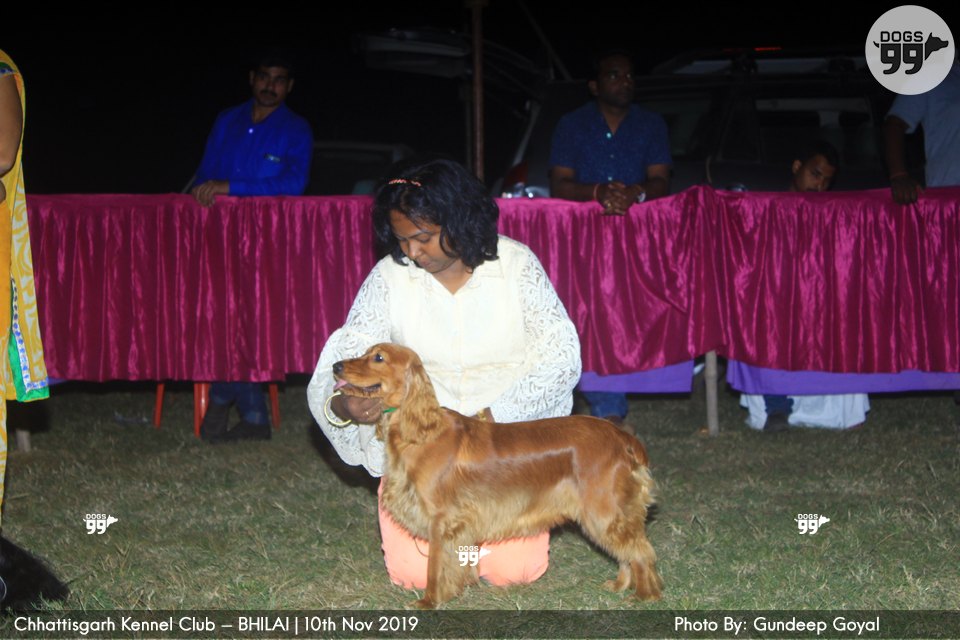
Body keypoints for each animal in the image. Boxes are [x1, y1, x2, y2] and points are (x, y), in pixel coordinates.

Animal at [333, 343, 662, 609]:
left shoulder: (442, 519)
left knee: (641, 550)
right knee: (629, 549)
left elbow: (435, 566)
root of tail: (621, 436)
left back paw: (644, 595)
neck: (422, 431)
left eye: (378, 357)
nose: (336, 366)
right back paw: (619, 586)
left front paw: (428, 602)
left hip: (602, 510)